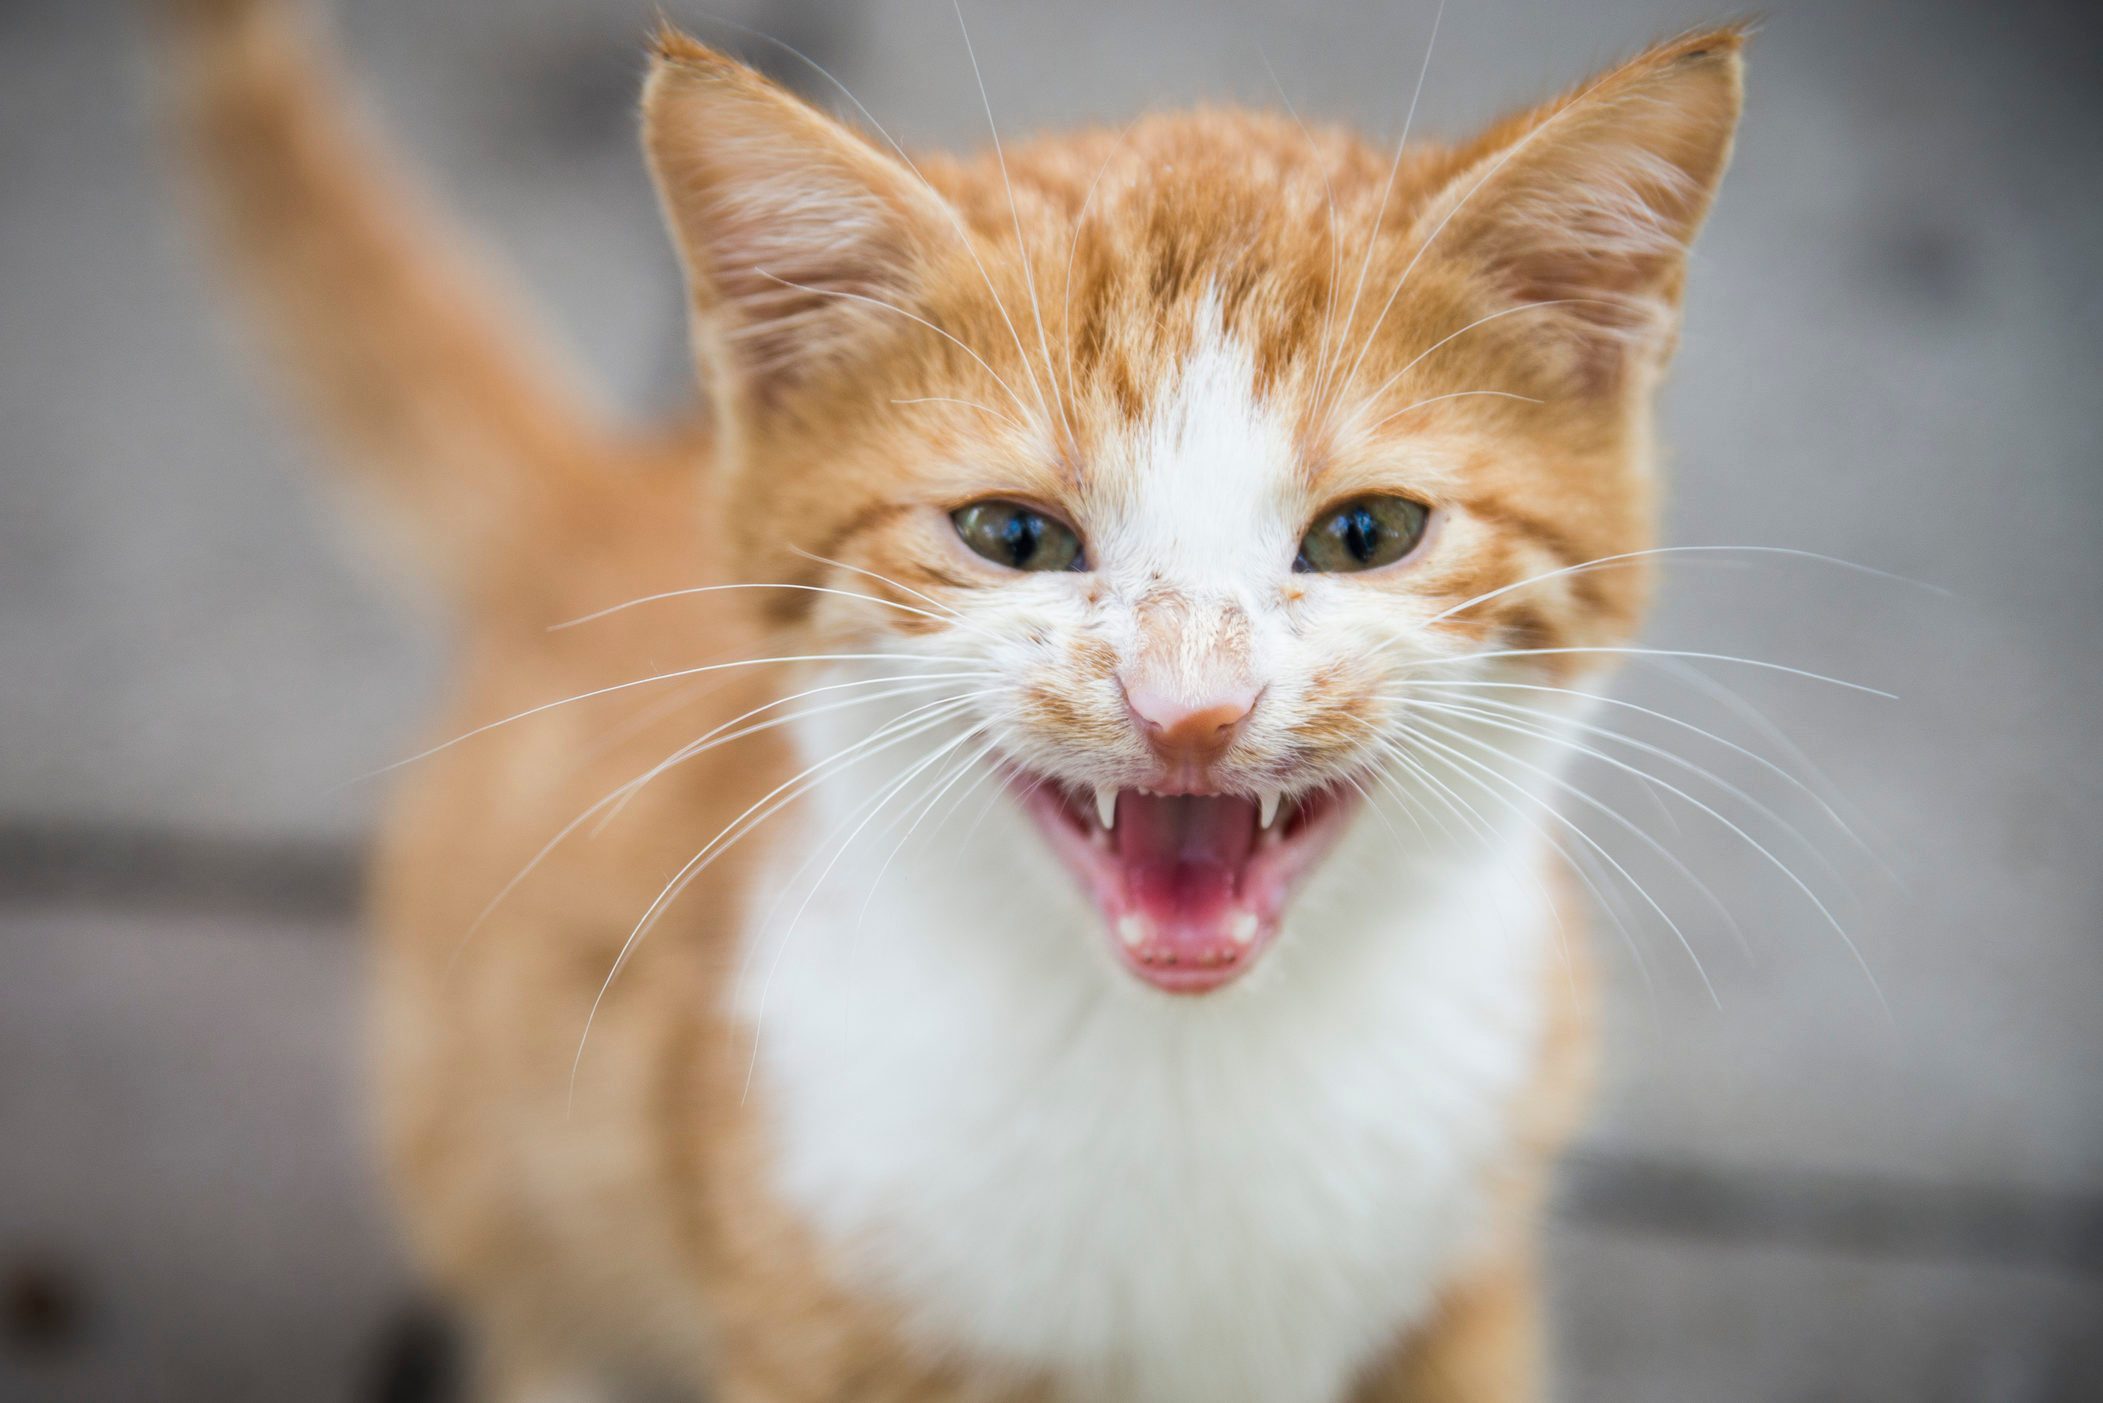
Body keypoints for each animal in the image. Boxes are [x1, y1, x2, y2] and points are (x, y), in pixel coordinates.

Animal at [159, 5, 1741, 1396]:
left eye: (1365, 533)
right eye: (1014, 534)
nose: (1189, 708)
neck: (1185, 1075)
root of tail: (602, 494)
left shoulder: (1465, 1284)